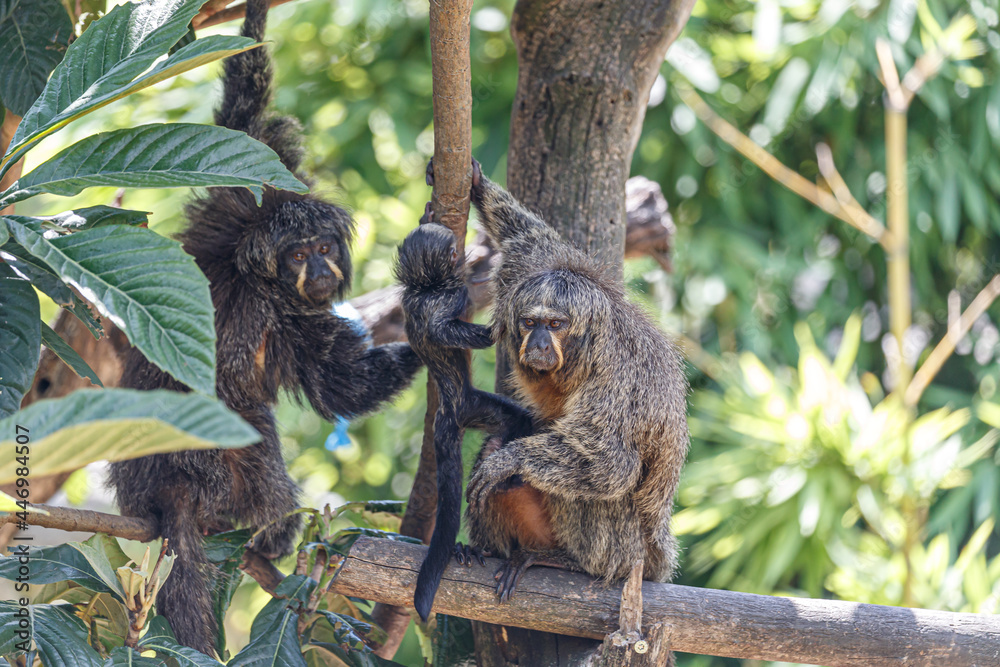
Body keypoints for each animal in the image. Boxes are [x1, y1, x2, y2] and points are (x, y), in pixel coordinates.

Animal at [106, 0, 422, 655]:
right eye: (300, 255)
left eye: (324, 248)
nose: (322, 270)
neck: (261, 278)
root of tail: (168, 478)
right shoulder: (264, 272)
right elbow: (339, 385)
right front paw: (438, 339)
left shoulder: (246, 222)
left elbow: (244, 116)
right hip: (212, 466)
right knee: (257, 437)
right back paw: (269, 535)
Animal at [394, 216, 534, 622]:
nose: (459, 247)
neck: (422, 288)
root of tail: (448, 411)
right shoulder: (447, 296)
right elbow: (443, 328)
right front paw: (496, 328)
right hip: (468, 410)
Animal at [454, 159, 689, 606]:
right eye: (531, 322)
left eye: (555, 325)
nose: (539, 343)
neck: (585, 357)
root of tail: (657, 561)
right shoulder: (530, 269)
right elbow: (529, 241)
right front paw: (477, 186)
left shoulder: (618, 376)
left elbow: (611, 464)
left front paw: (510, 461)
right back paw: (490, 550)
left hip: (630, 554)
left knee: (601, 486)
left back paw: (570, 562)